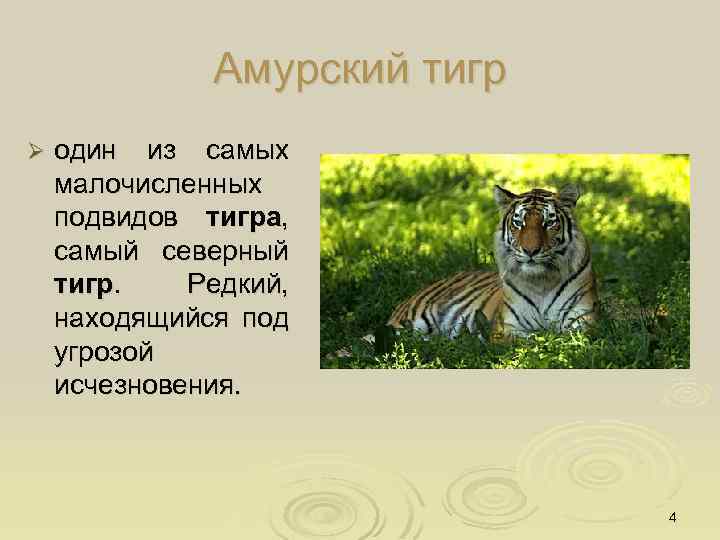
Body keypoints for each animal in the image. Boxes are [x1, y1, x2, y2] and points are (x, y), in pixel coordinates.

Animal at [385, 184, 599, 342]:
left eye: (548, 223)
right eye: (518, 223)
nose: (530, 251)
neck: (541, 281)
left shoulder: (582, 319)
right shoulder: (507, 327)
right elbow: (529, 341)